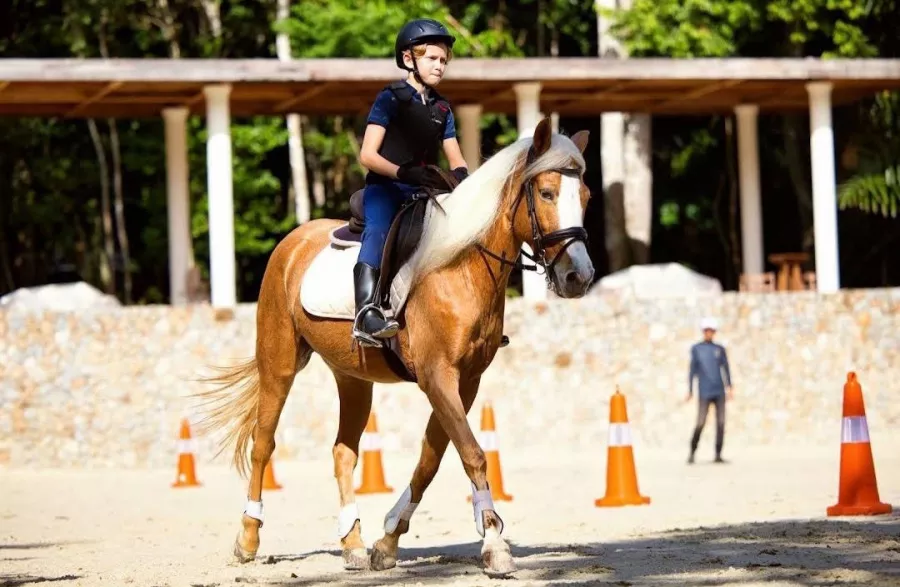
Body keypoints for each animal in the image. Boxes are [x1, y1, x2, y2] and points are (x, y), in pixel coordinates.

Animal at [194, 116, 595, 577]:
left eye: (585, 196)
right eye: (546, 193)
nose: (579, 276)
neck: (461, 265)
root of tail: (293, 241)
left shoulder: (466, 382)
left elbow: (431, 460)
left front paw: (386, 543)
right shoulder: (438, 376)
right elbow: (472, 454)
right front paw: (495, 543)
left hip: (353, 379)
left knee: (343, 453)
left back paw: (351, 544)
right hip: (278, 363)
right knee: (263, 444)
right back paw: (248, 538)